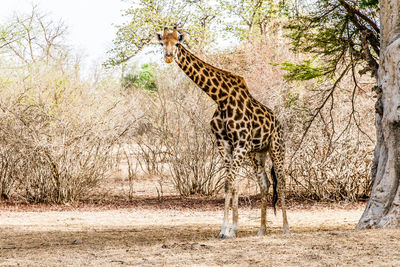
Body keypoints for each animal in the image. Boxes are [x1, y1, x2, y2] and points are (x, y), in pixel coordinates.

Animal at [157, 27, 290, 240]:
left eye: (177, 43)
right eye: (162, 43)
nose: (168, 56)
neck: (220, 98)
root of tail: (278, 122)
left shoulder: (241, 144)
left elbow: (230, 182)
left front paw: (227, 230)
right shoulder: (225, 144)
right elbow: (230, 184)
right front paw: (229, 229)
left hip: (276, 147)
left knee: (282, 180)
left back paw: (286, 227)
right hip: (257, 153)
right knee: (265, 183)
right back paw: (261, 229)